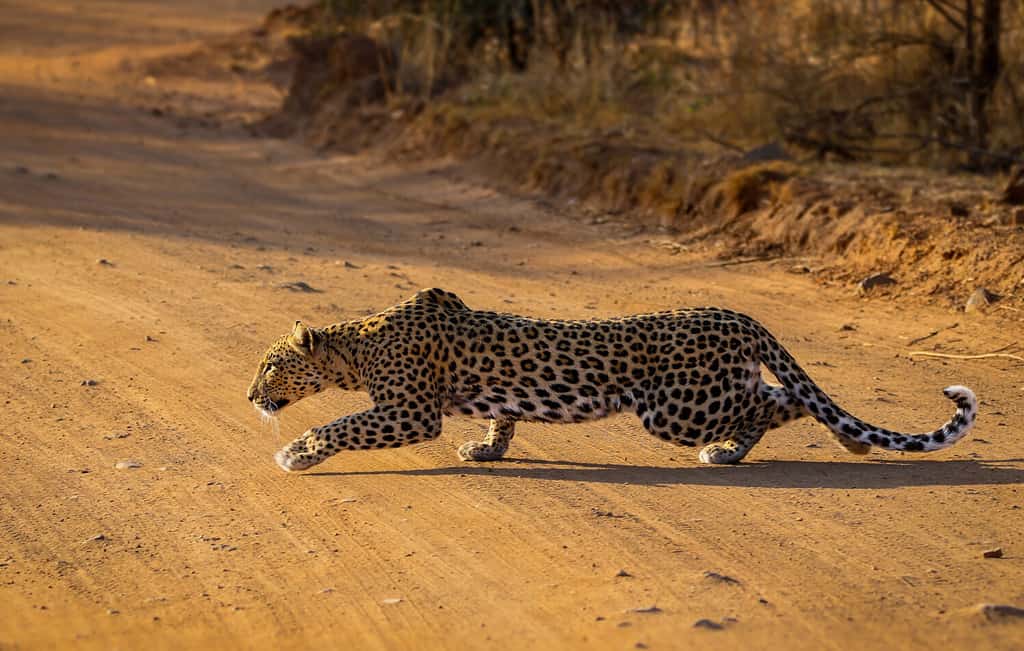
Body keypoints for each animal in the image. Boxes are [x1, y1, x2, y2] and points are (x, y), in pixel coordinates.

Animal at [245, 286, 974, 470]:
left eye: (270, 365)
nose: (249, 394)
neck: (355, 346)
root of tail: (738, 314)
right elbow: (503, 416)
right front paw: (487, 448)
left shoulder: (408, 411)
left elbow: (341, 423)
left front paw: (295, 454)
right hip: (698, 396)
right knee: (780, 395)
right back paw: (840, 442)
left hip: (676, 407)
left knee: (773, 401)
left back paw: (733, 450)